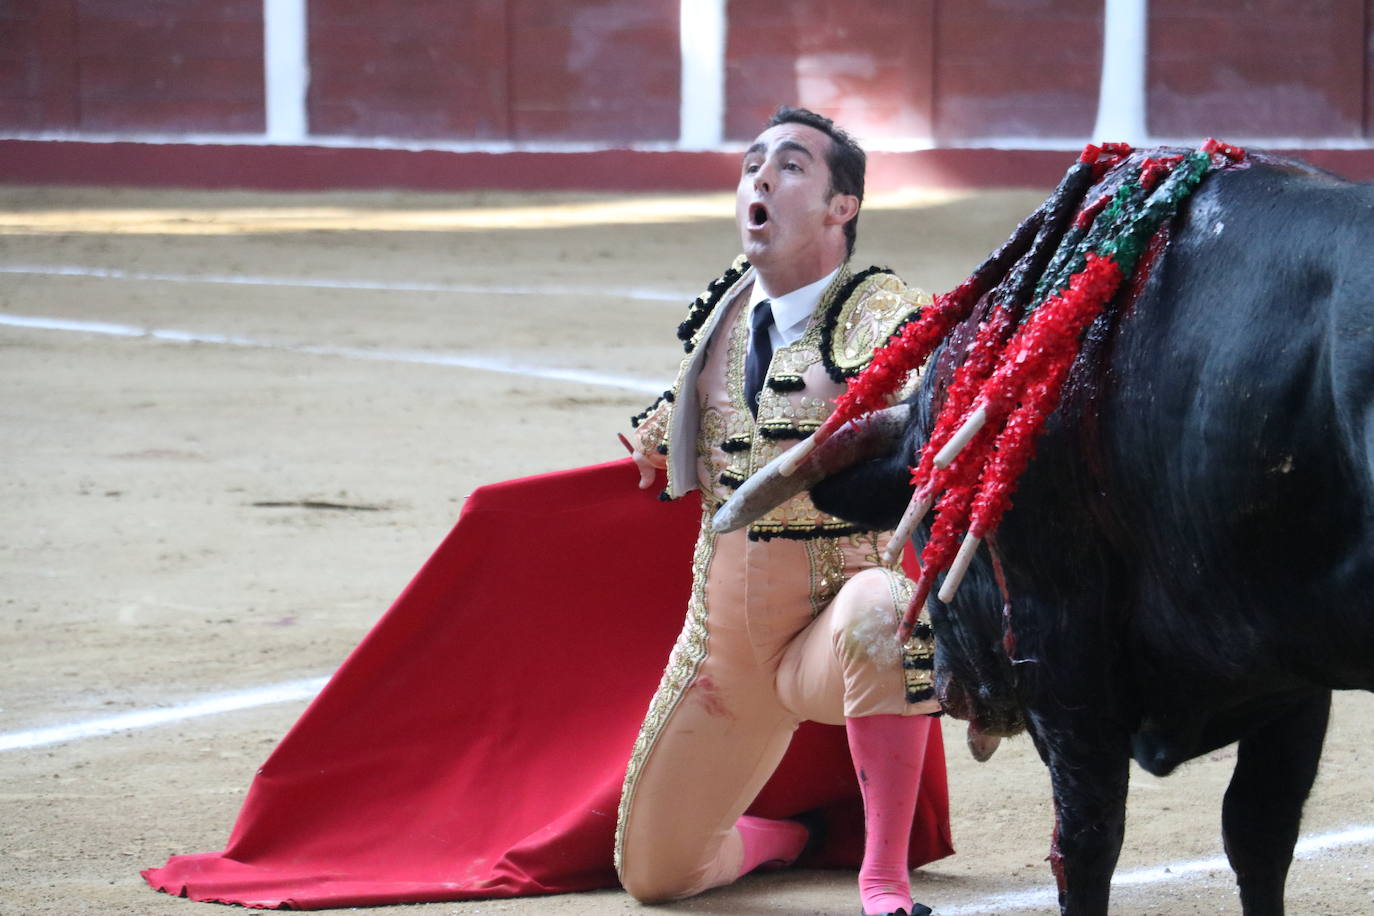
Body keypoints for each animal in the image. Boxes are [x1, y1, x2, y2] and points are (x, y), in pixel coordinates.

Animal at [719, 153, 1374, 911]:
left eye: (933, 521)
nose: (949, 689)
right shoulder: (1287, 677)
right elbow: (1260, 833)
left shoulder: (1062, 651)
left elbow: (1084, 844)